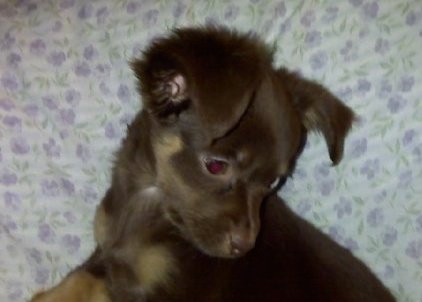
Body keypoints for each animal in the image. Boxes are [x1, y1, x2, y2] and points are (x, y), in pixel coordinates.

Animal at [30, 26, 396, 302]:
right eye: (216, 167)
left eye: (274, 183)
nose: (244, 247)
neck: (145, 204)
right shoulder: (106, 253)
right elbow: (82, 277)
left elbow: (94, 282)